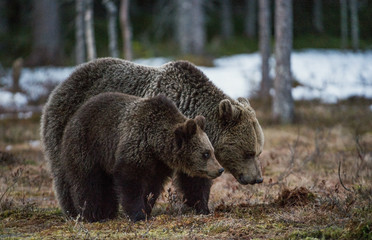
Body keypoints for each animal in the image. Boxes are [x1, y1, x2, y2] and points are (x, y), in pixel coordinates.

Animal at [41, 59, 264, 215]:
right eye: (248, 152)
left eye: (258, 151)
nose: (257, 178)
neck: (187, 106)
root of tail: (61, 84)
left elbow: (194, 179)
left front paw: (202, 207)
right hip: (66, 130)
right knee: (67, 173)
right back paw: (74, 210)